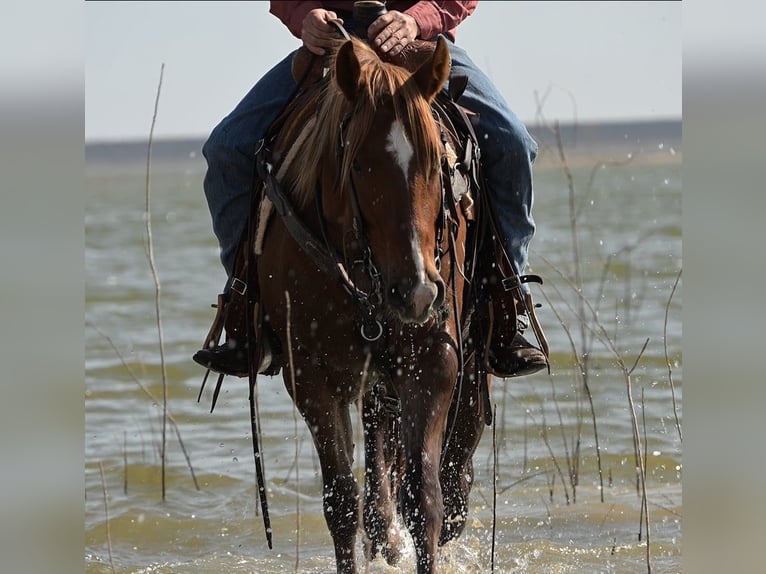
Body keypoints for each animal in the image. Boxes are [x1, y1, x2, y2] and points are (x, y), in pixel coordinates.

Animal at [252, 36, 491, 573]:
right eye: (359, 165)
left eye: (434, 164)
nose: (418, 292)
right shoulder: (311, 377)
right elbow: (341, 503)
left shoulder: (434, 359)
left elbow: (425, 499)